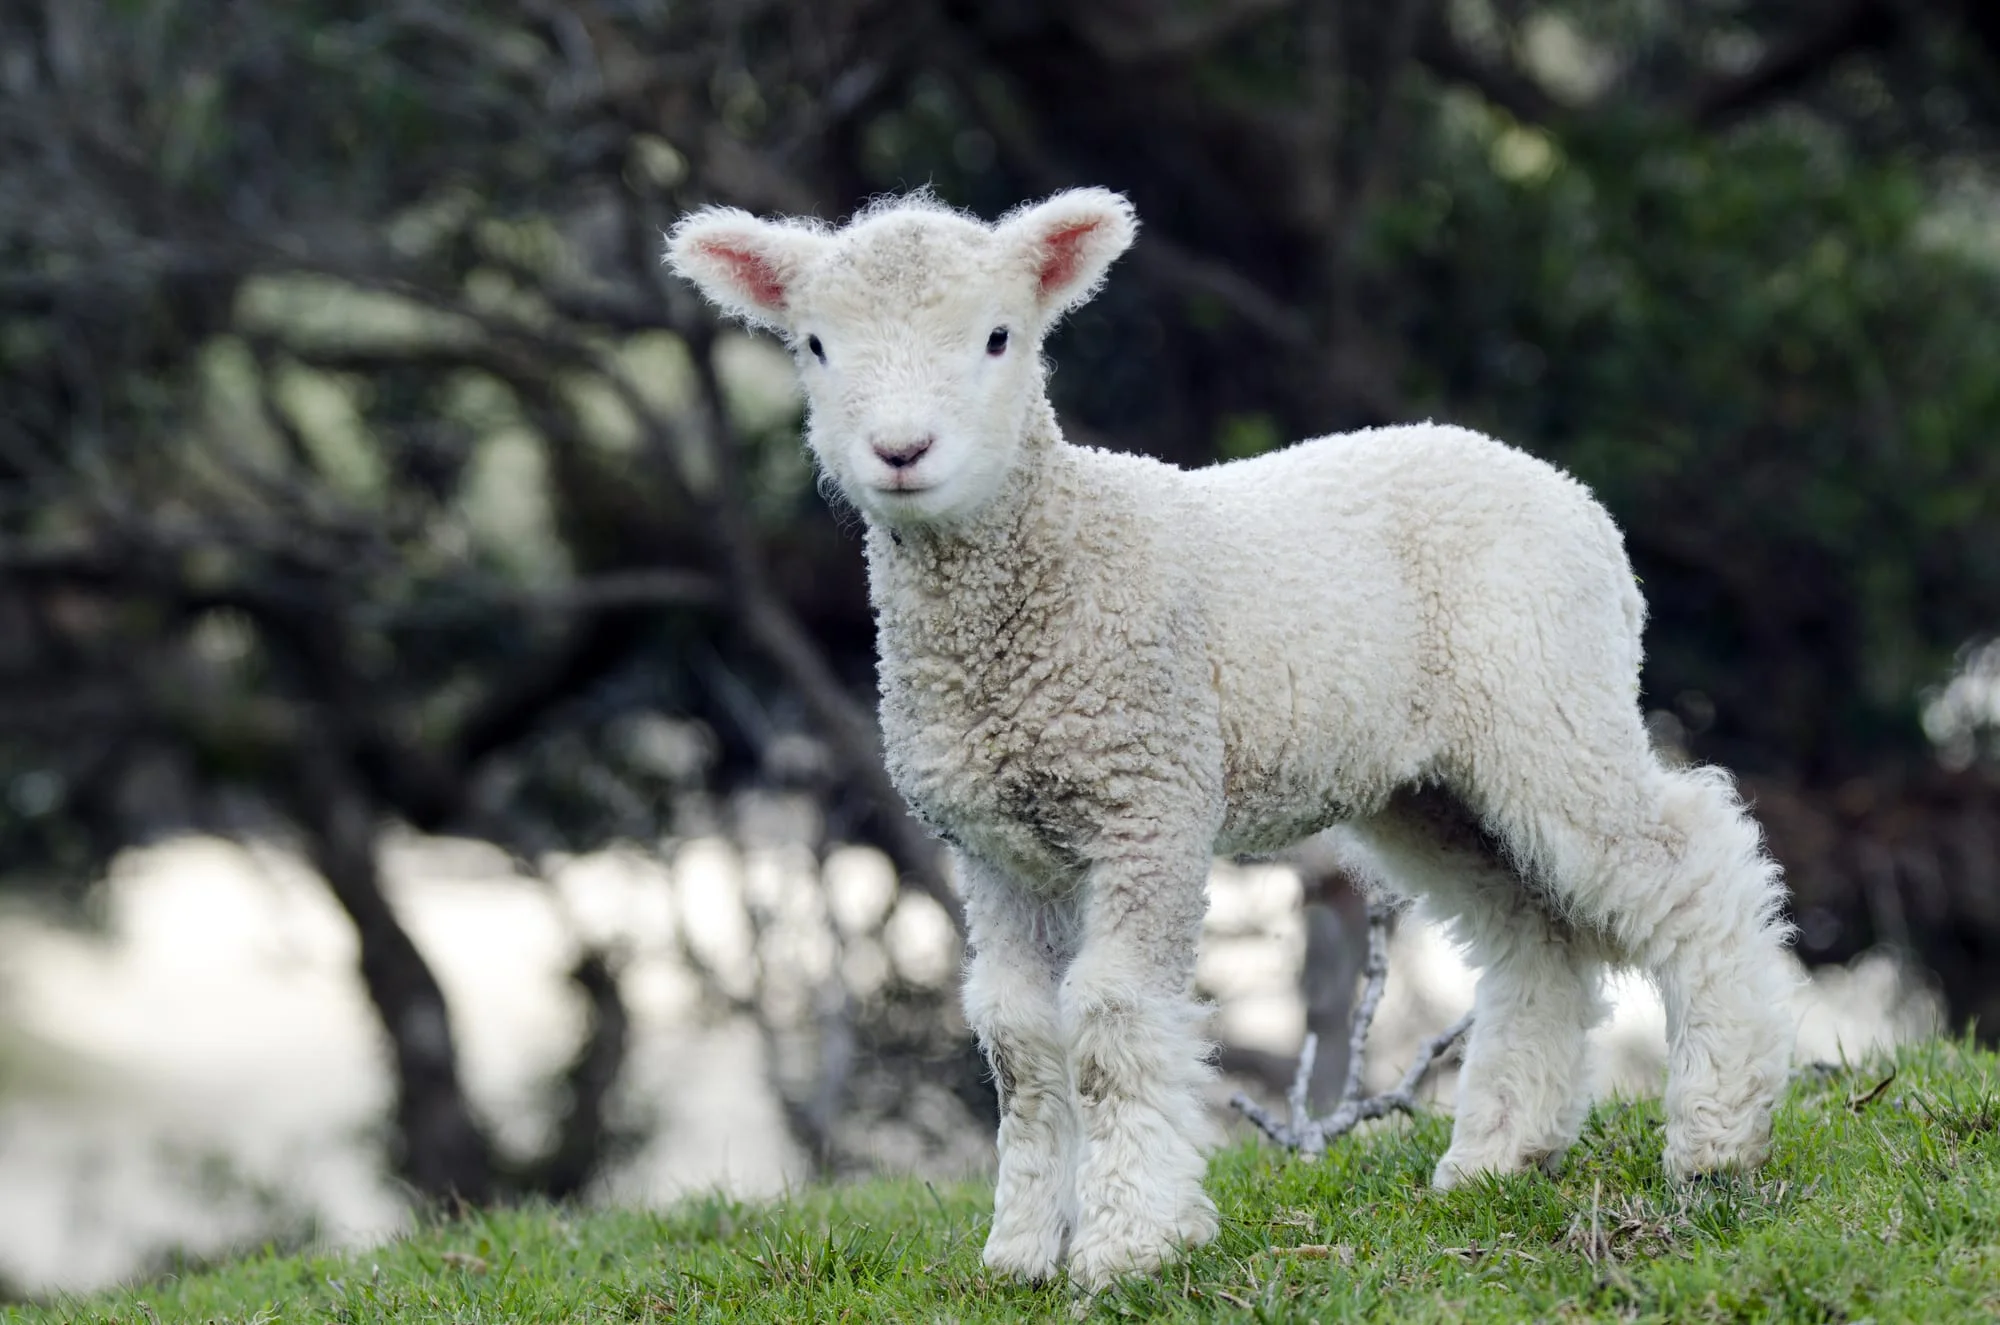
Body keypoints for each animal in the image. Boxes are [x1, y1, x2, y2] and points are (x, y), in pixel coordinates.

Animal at [666, 187, 1798, 1292]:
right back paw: (1496, 1154)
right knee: (1531, 932)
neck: (1048, 566)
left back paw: (1716, 1133)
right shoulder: (992, 846)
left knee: (1686, 864)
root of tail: (1571, 499)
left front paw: (1131, 1243)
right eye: (815, 344)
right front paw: (1020, 1252)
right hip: (1427, 785)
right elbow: (1017, 1036)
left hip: (1546, 690)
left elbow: (1112, 1017)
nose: (901, 453)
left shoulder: (1150, 798)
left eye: (997, 336)